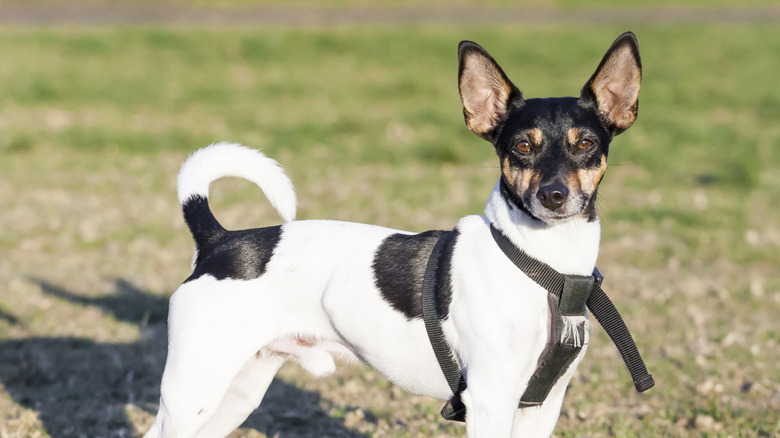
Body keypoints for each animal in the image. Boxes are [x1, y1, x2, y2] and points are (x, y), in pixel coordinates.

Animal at [143, 31, 644, 438]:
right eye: (522, 146)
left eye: (586, 144)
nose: (554, 195)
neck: (544, 264)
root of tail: (219, 240)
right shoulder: (490, 399)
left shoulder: (542, 405)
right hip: (194, 390)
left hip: (237, 392)